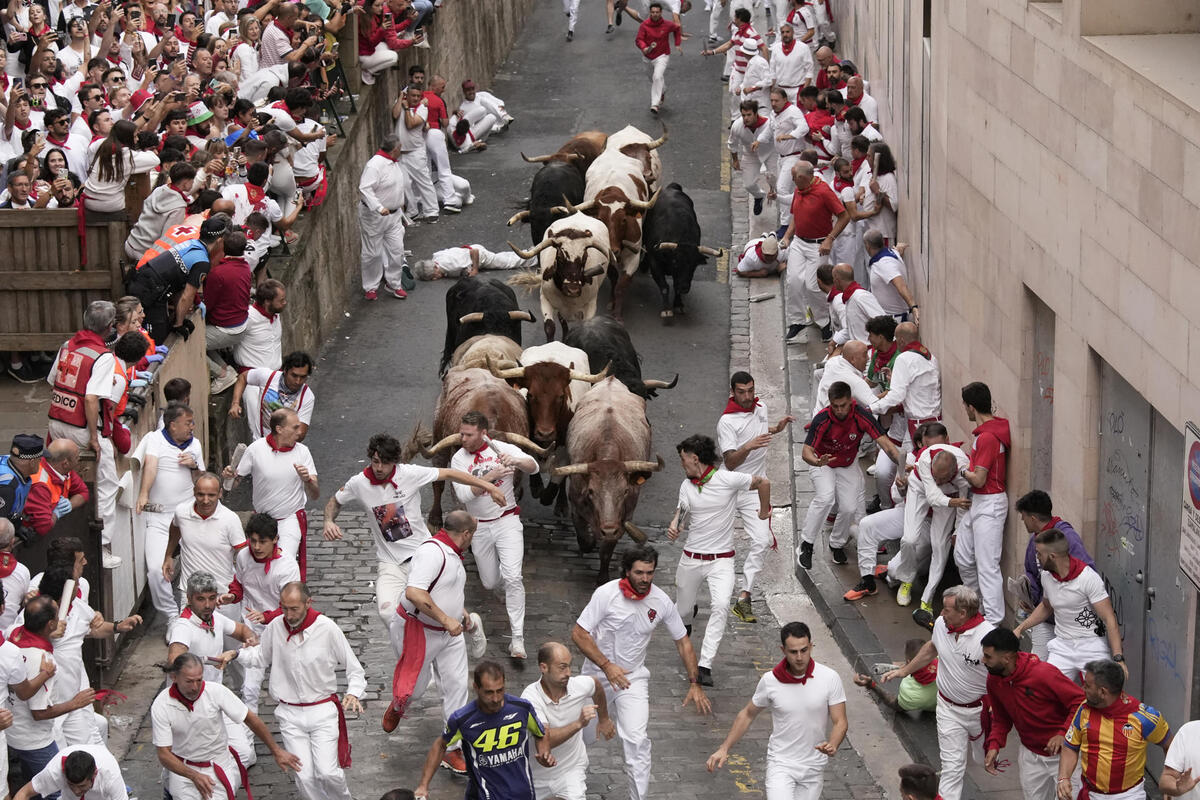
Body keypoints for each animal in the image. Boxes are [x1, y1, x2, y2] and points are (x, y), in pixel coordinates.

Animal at [549, 376, 662, 582]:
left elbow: (607, 550)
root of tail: (611, 379)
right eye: (591, 492)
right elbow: (584, 539)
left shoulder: (622, 519)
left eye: (625, 491)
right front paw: (592, 540)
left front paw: (602, 577)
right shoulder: (577, 508)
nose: (607, 529)